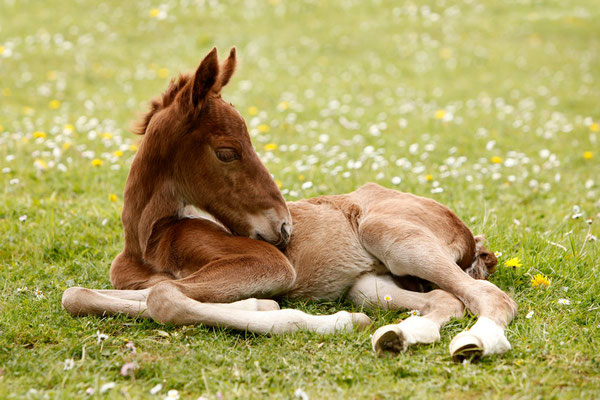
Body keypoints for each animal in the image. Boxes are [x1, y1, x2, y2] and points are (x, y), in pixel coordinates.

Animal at [63, 48, 516, 360]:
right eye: (227, 152)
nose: (283, 227)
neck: (147, 241)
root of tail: (470, 237)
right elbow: (78, 295)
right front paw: (259, 303)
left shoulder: (269, 263)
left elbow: (165, 297)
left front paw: (317, 319)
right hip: (370, 285)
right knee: (446, 300)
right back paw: (398, 336)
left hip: (389, 234)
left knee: (491, 297)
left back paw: (475, 342)